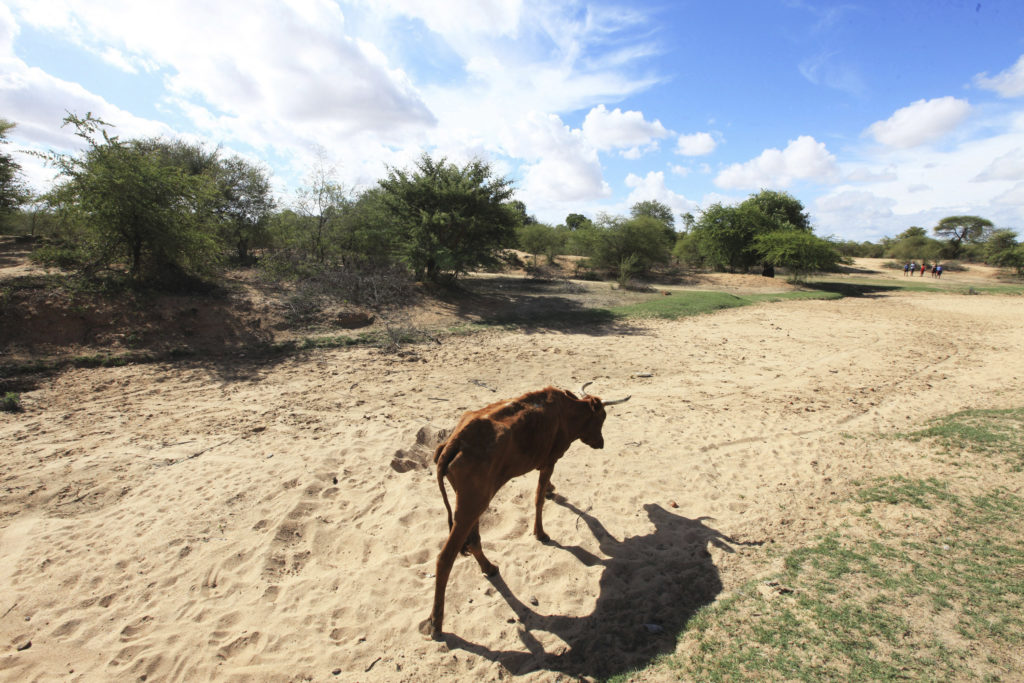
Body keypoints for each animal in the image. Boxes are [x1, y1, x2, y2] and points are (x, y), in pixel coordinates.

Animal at [417, 382, 626, 638]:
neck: (568, 410)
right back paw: (437, 622)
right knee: (445, 558)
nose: (601, 443)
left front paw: (552, 491)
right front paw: (540, 532)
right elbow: (538, 499)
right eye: (602, 418)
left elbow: (544, 493)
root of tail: (453, 442)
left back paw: (488, 567)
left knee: (473, 540)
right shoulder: (550, 460)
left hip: (471, 503)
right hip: (471, 504)